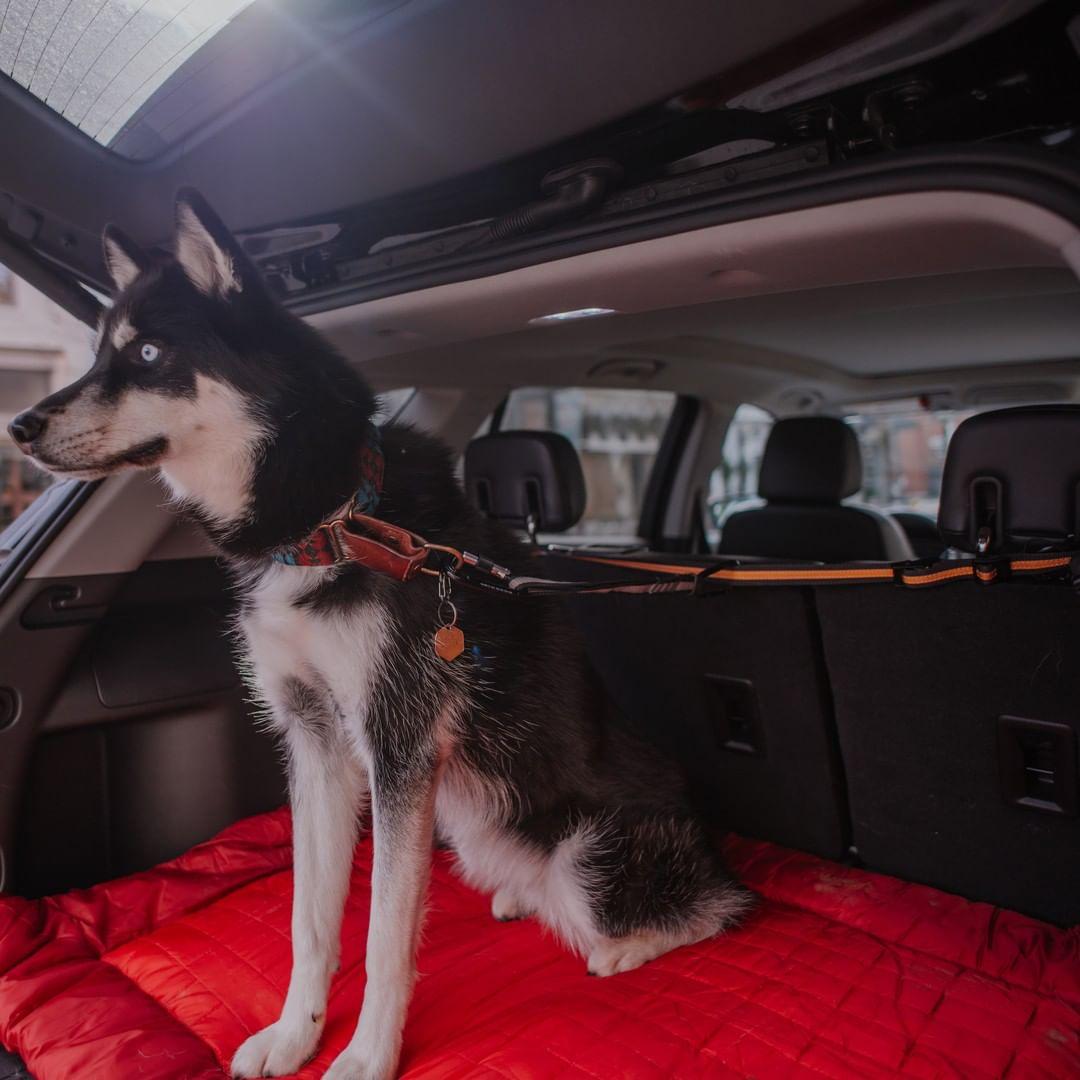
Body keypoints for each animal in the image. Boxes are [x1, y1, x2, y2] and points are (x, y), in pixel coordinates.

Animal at [8, 194, 751, 1080]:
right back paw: (519, 894)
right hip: (472, 830)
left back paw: (627, 945)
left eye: (149, 353)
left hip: (591, 855)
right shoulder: (315, 741)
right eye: (96, 355)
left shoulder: (400, 747)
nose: (18, 425)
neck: (336, 522)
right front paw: (295, 1033)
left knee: (715, 908)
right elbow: (310, 918)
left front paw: (366, 1055)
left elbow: (387, 931)